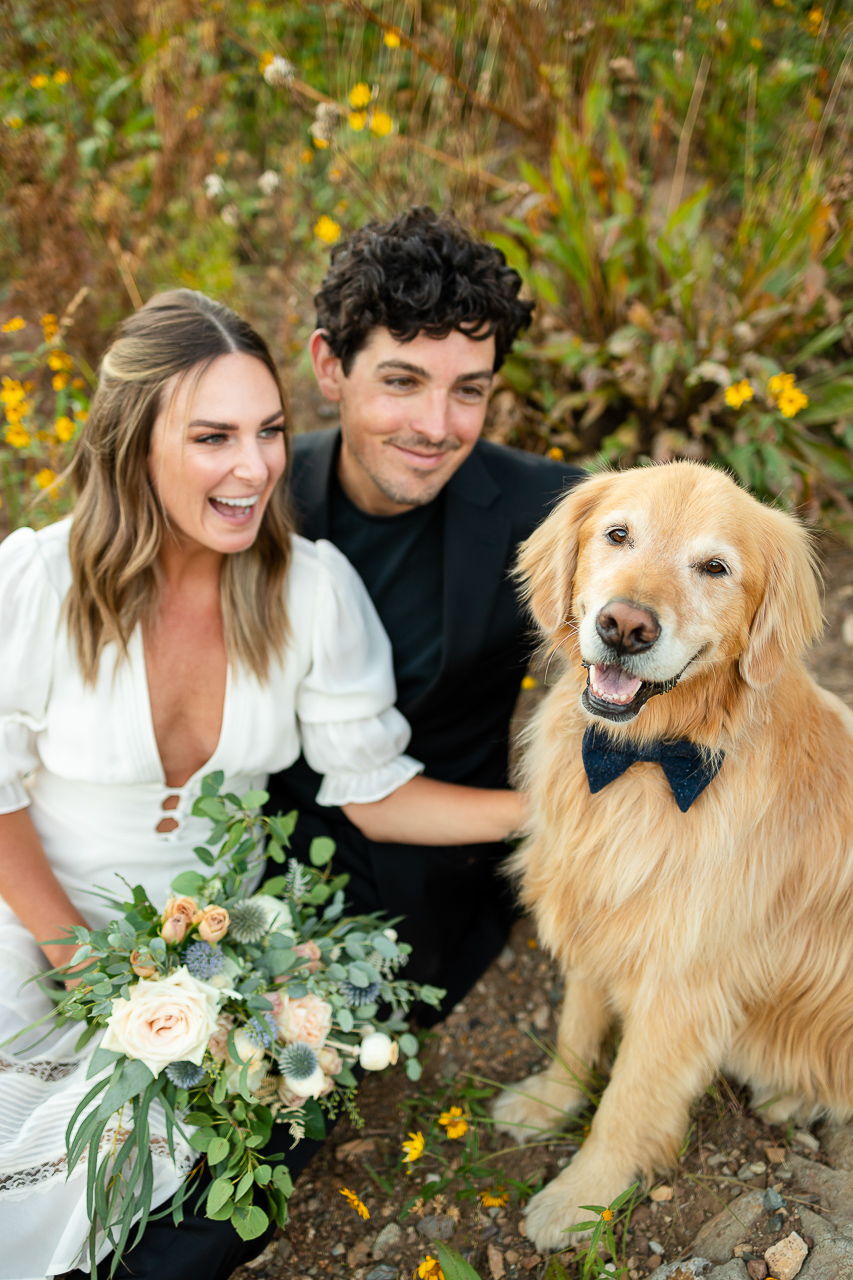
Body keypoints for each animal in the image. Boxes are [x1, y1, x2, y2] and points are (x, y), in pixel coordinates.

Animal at [489, 460, 850, 1249]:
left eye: (714, 567)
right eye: (617, 534)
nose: (623, 626)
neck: (644, 761)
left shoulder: (680, 987)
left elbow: (626, 1102)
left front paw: (581, 1198)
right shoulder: (598, 911)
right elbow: (574, 1031)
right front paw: (548, 1102)